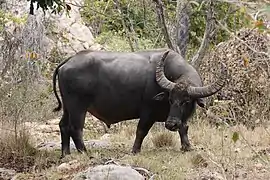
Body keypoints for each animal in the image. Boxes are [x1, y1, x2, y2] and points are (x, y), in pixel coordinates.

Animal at [51, 48, 227, 158]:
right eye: (170, 99)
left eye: (186, 101)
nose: (170, 124)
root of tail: (68, 62)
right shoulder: (147, 113)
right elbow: (141, 131)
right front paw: (135, 150)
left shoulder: (179, 118)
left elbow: (184, 128)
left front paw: (187, 147)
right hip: (77, 107)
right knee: (76, 128)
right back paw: (85, 153)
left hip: (67, 107)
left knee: (63, 125)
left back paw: (65, 154)